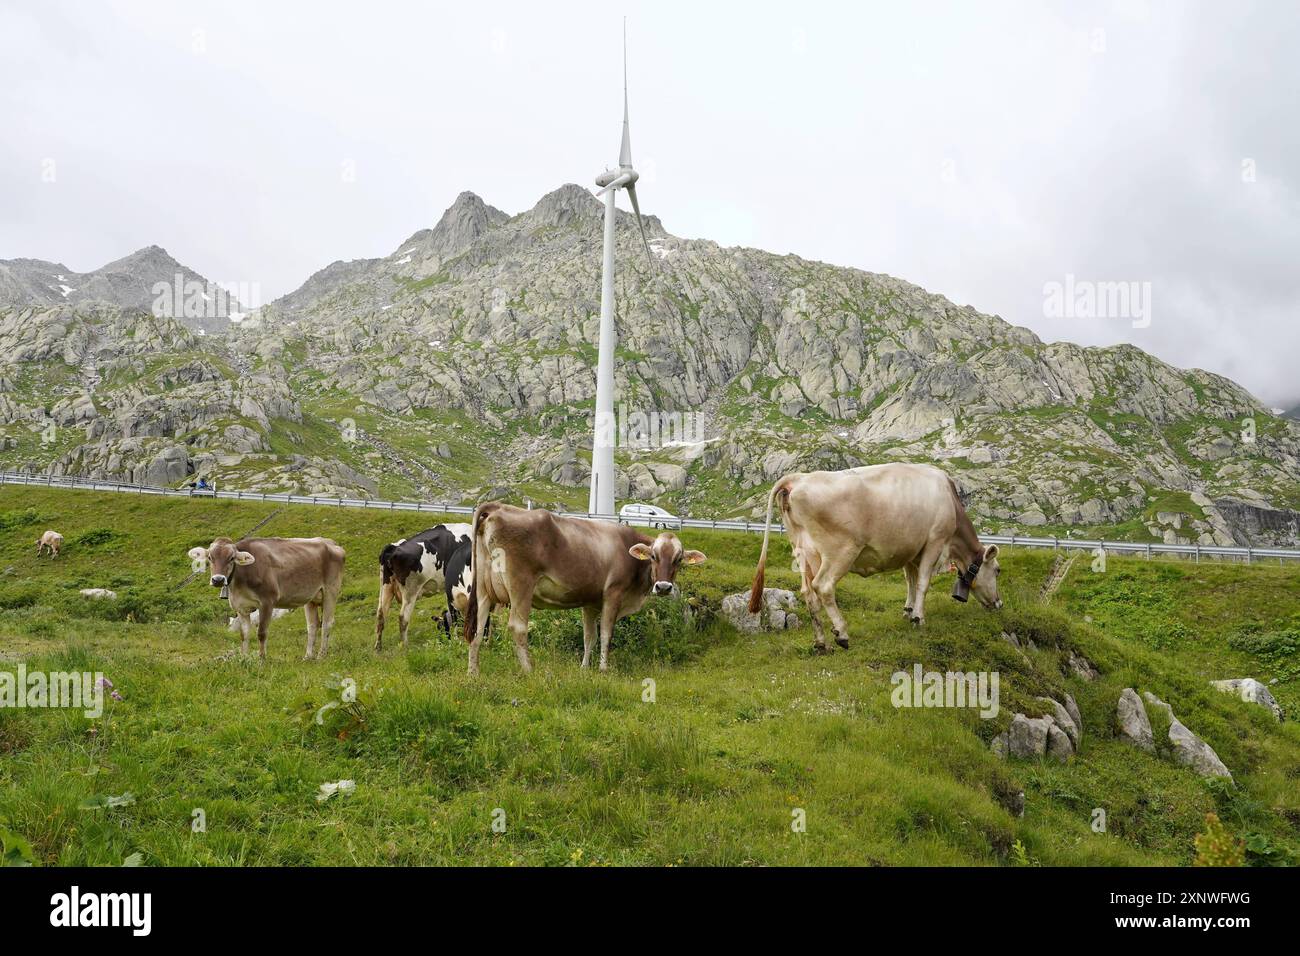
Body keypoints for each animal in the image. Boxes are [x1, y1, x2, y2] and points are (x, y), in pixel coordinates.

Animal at [187, 536, 346, 660]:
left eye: (231, 558)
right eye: (210, 557)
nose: (218, 580)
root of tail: (331, 542)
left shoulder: (267, 602)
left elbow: (261, 633)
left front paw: (262, 659)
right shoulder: (240, 607)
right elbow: (244, 634)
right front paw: (244, 658)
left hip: (330, 591)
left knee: (327, 623)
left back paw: (321, 655)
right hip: (310, 597)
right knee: (312, 625)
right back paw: (307, 656)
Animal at [462, 502, 707, 676]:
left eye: (678, 559)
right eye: (654, 556)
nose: (663, 587)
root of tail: (498, 506)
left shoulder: (590, 602)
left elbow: (589, 637)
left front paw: (584, 668)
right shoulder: (613, 595)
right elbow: (606, 633)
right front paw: (603, 668)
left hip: (483, 590)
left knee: (478, 629)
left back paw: (473, 673)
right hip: (521, 584)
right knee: (518, 627)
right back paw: (529, 670)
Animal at [748, 463, 1002, 653]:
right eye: (998, 570)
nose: (999, 604)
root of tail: (798, 479)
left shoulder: (912, 550)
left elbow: (910, 581)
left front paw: (908, 610)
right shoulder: (934, 542)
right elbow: (922, 583)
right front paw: (918, 618)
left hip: (803, 552)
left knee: (809, 593)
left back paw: (820, 643)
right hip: (840, 551)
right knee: (824, 586)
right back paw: (842, 633)